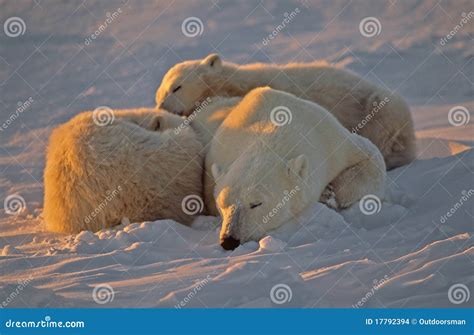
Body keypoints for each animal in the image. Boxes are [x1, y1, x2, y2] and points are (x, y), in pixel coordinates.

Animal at [204, 88, 386, 251]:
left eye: (256, 203)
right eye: (222, 204)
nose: (229, 240)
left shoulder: (331, 141)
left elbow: (371, 156)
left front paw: (330, 193)